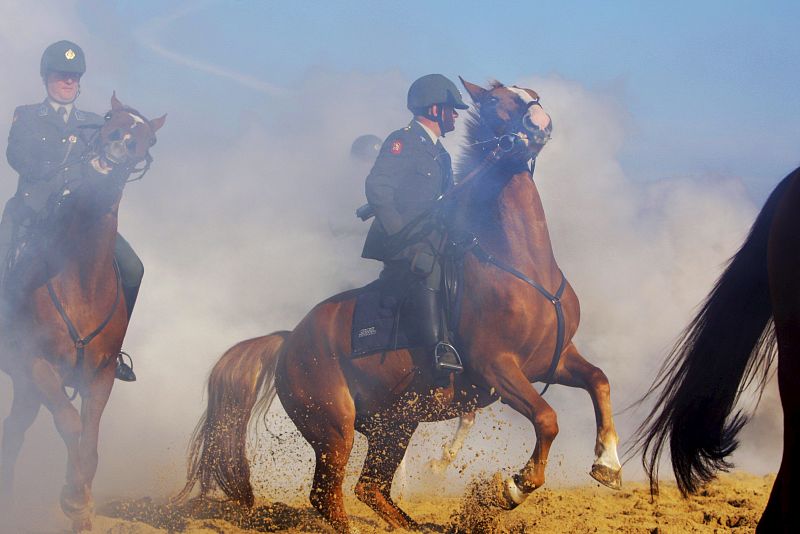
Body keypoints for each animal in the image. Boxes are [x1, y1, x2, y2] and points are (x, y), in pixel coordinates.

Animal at [0, 94, 165, 532]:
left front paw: (82, 507)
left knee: (13, 435)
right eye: (109, 117)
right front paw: (73, 500)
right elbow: (70, 423)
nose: (118, 144)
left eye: (148, 137)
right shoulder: (39, 365)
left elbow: (90, 445)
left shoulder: (100, 376)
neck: (81, 279)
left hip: (26, 388)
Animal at [178, 78, 620, 532]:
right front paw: (513, 487)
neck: (519, 264)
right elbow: (547, 420)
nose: (540, 122)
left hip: (394, 425)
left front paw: (608, 464)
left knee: (370, 488)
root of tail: (288, 342)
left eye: (533, 95)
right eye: (499, 102)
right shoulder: (498, 367)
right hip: (335, 429)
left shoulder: (553, 360)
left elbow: (599, 381)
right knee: (328, 495)